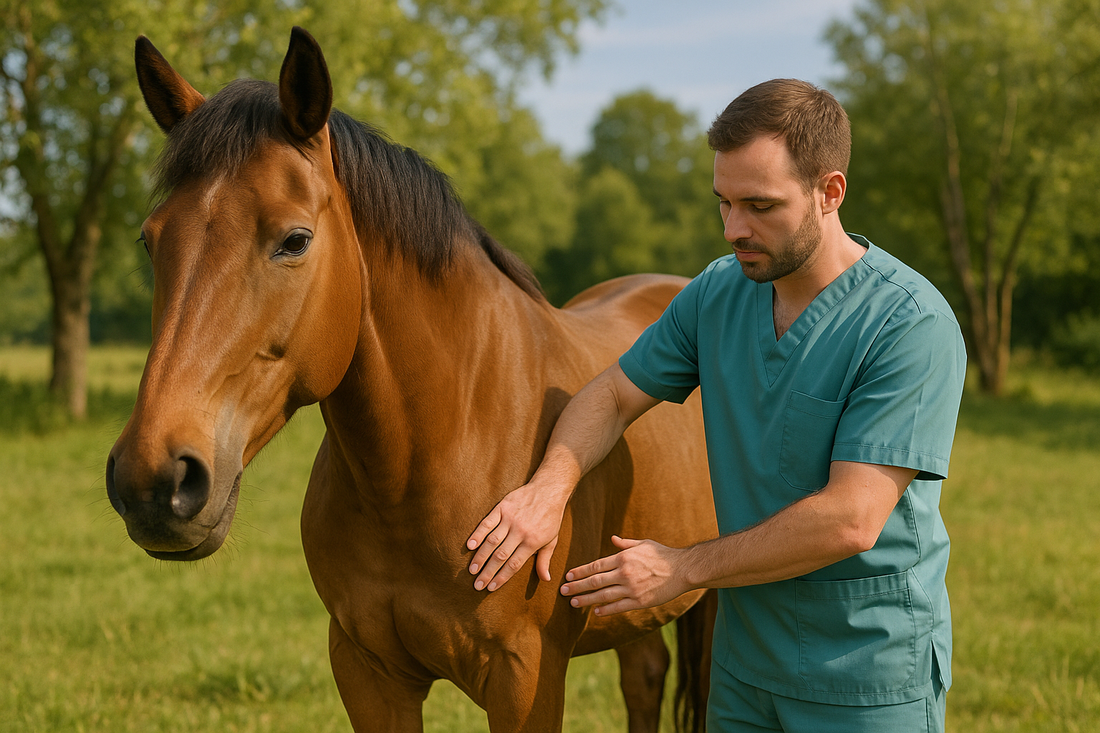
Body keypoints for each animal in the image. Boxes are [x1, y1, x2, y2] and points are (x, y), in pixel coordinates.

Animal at [107, 27, 718, 733]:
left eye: (295, 240)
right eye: (149, 241)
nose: (152, 481)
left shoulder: (527, 678)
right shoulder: (368, 672)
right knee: (644, 677)